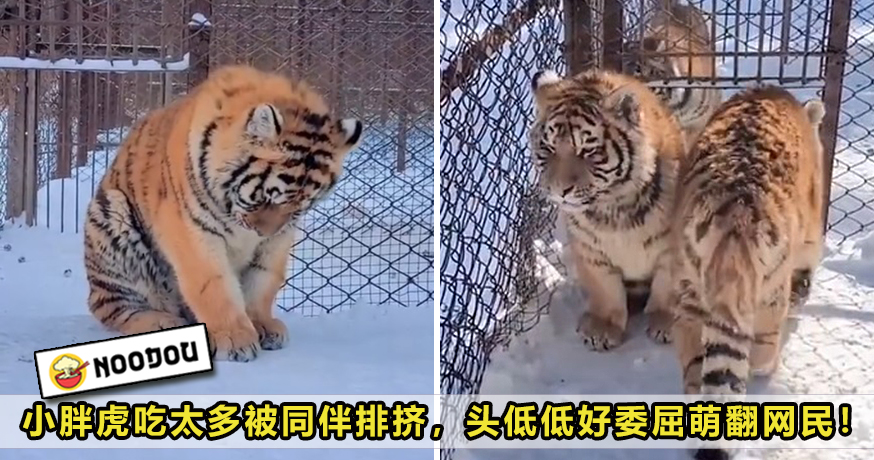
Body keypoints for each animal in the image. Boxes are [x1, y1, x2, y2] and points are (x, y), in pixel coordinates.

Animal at [83, 64, 364, 362]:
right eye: (266, 198)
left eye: (300, 206)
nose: (263, 231)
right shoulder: (192, 229)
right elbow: (213, 285)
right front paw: (235, 339)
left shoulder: (279, 238)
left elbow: (263, 280)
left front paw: (263, 325)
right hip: (111, 215)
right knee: (111, 305)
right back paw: (160, 321)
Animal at [528, 68, 686, 351]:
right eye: (548, 148)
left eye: (587, 151)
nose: (559, 190)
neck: (613, 209)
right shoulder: (590, 251)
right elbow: (605, 289)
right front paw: (602, 329)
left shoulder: (673, 246)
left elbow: (667, 285)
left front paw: (666, 323)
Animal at [667, 86, 825, 459]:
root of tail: (735, 215)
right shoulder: (811, 232)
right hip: (768, 295)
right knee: (761, 350)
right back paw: (767, 368)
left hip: (689, 290)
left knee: (696, 367)